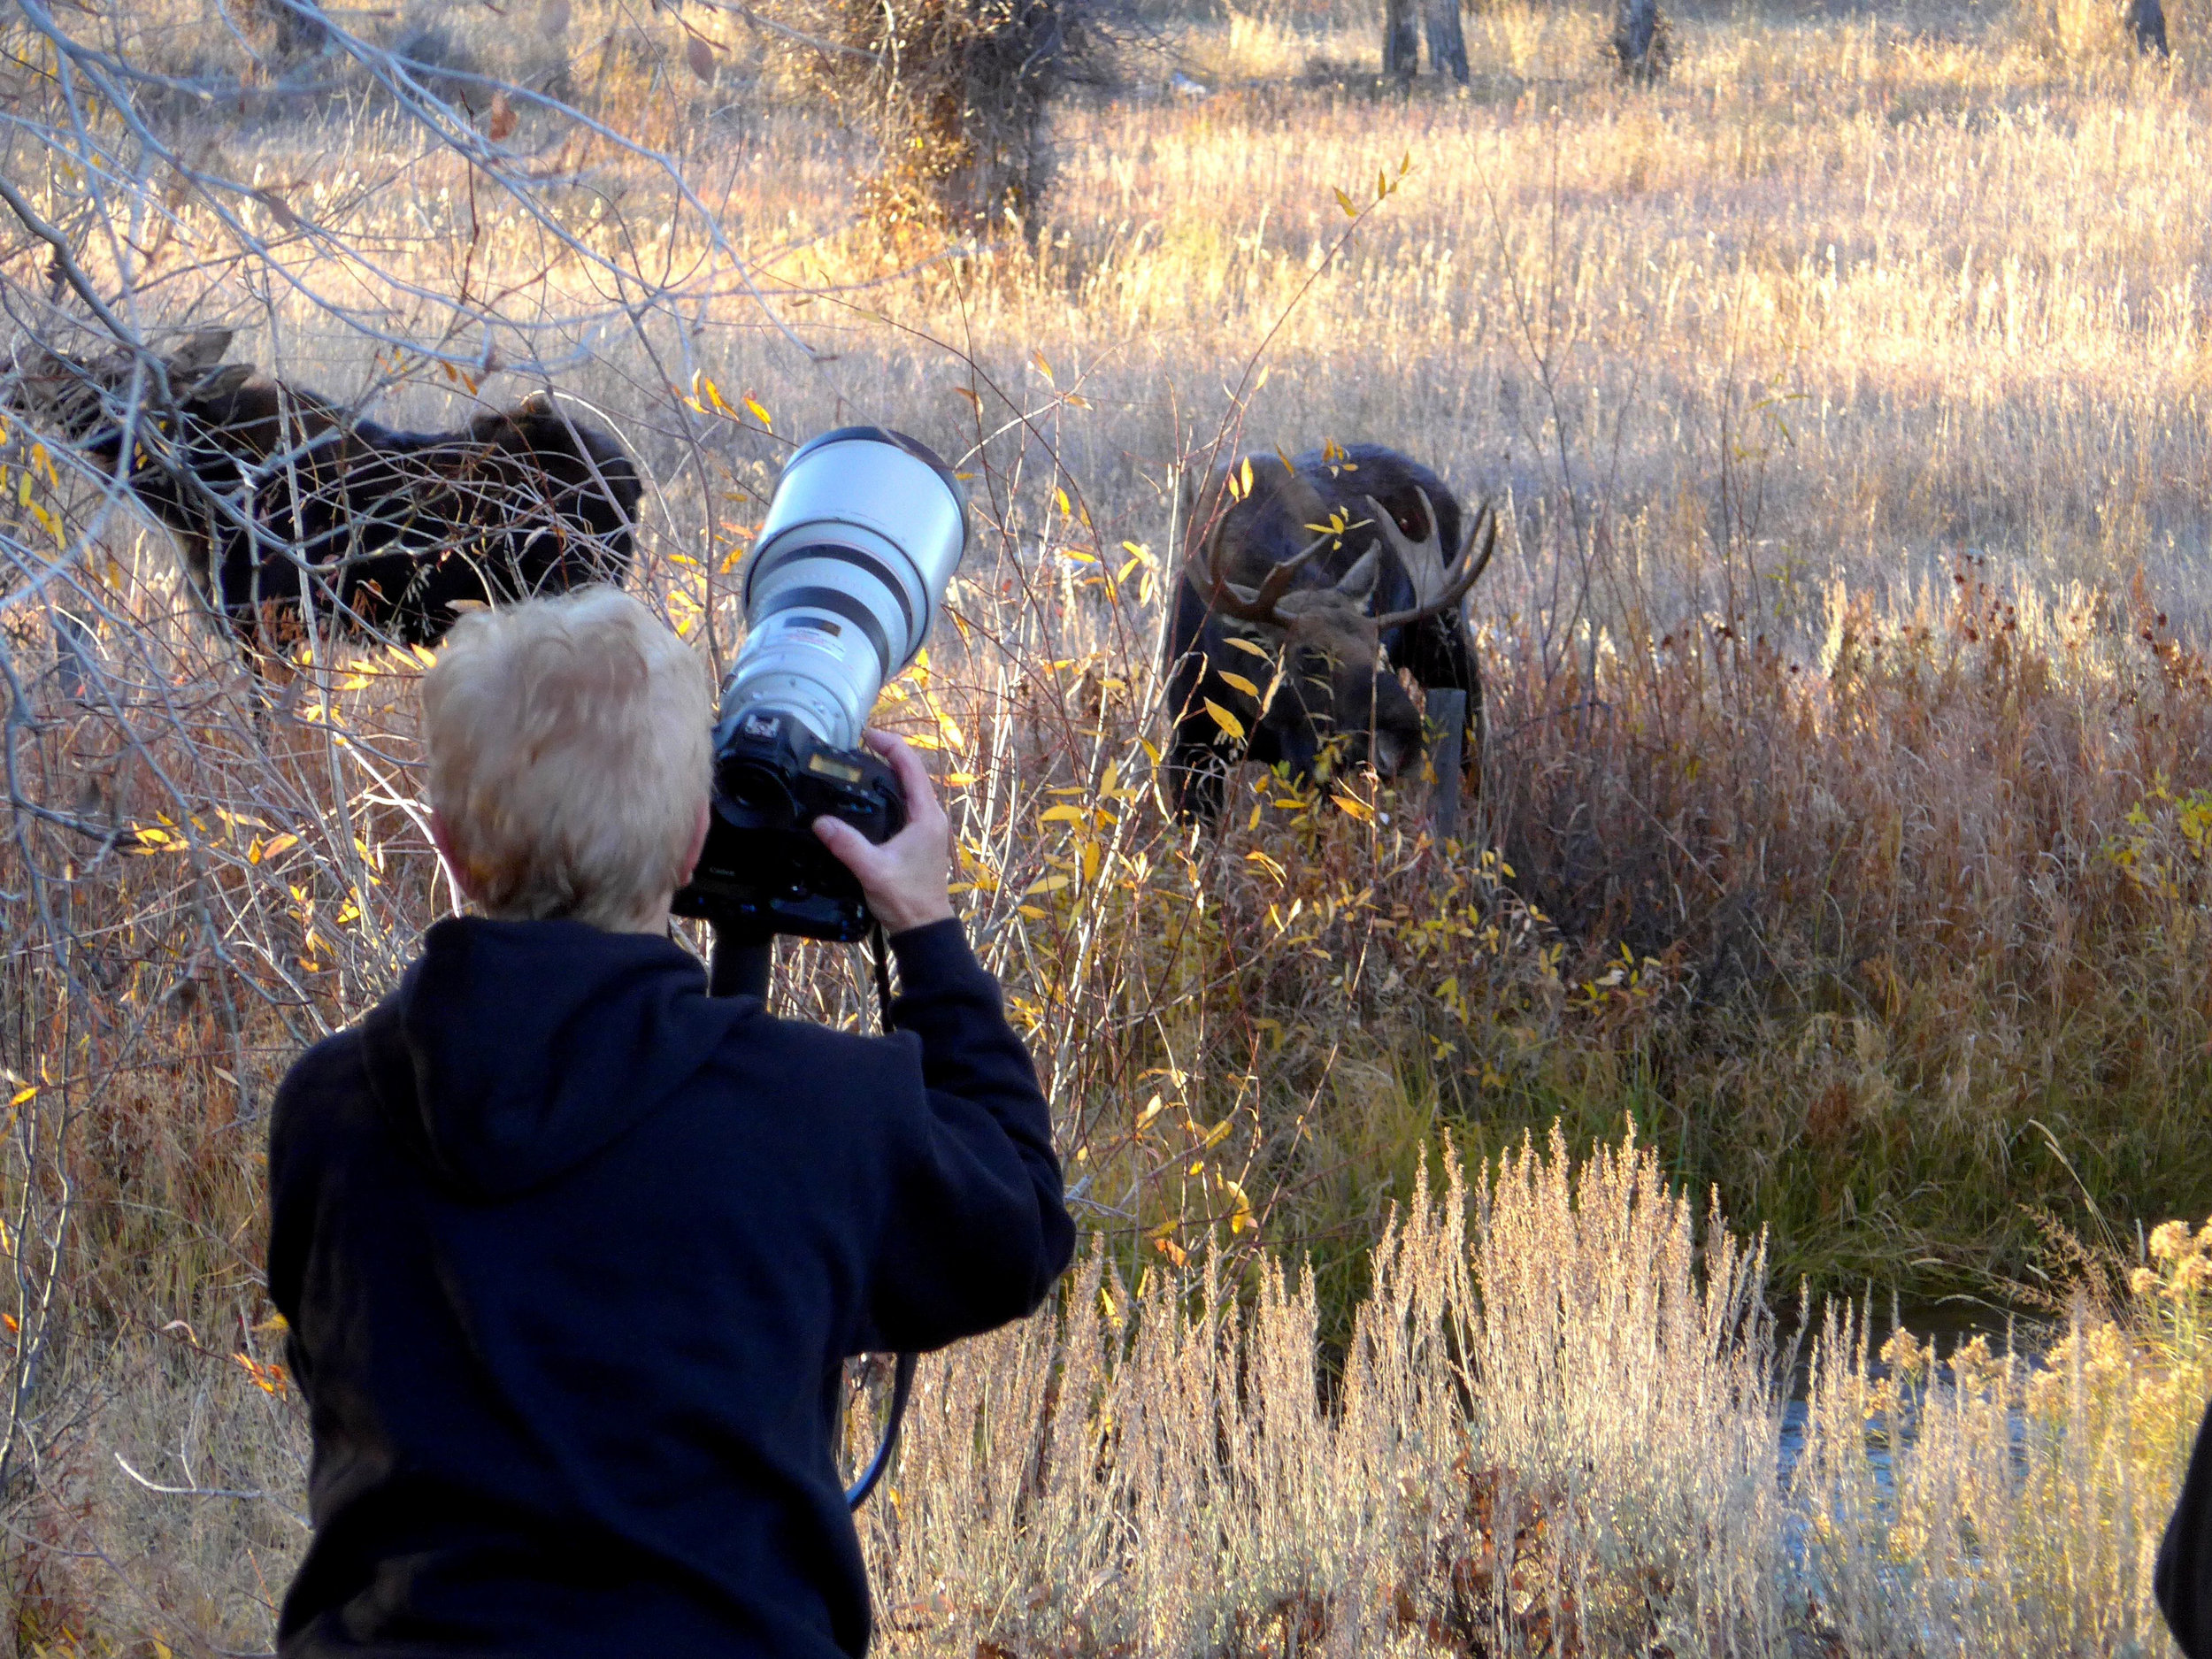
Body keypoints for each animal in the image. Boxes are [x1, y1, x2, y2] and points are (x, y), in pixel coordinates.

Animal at [1162, 444, 1496, 821]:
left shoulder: (1313, 760)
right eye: (1308, 655)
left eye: (1378, 649)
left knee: (1475, 745)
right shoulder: (1189, 743)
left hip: (1447, 643)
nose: (1404, 743)